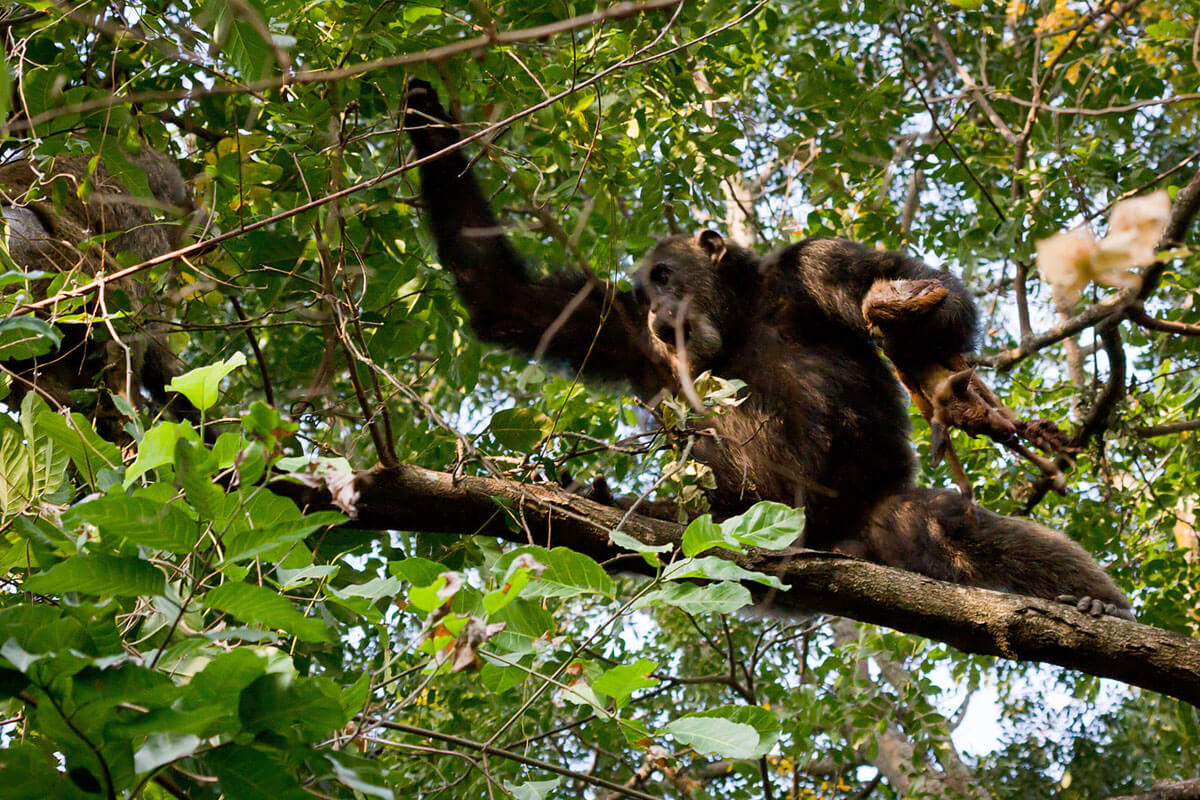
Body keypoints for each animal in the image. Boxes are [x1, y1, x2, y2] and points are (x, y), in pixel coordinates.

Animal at [402, 79, 1131, 619]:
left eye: (663, 276)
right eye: (641, 291)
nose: (659, 311)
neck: (740, 311)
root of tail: (834, 541)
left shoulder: (818, 263)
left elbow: (911, 292)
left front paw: (903, 317)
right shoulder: (624, 335)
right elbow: (505, 297)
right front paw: (424, 119)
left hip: (875, 521)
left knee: (951, 527)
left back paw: (1094, 604)